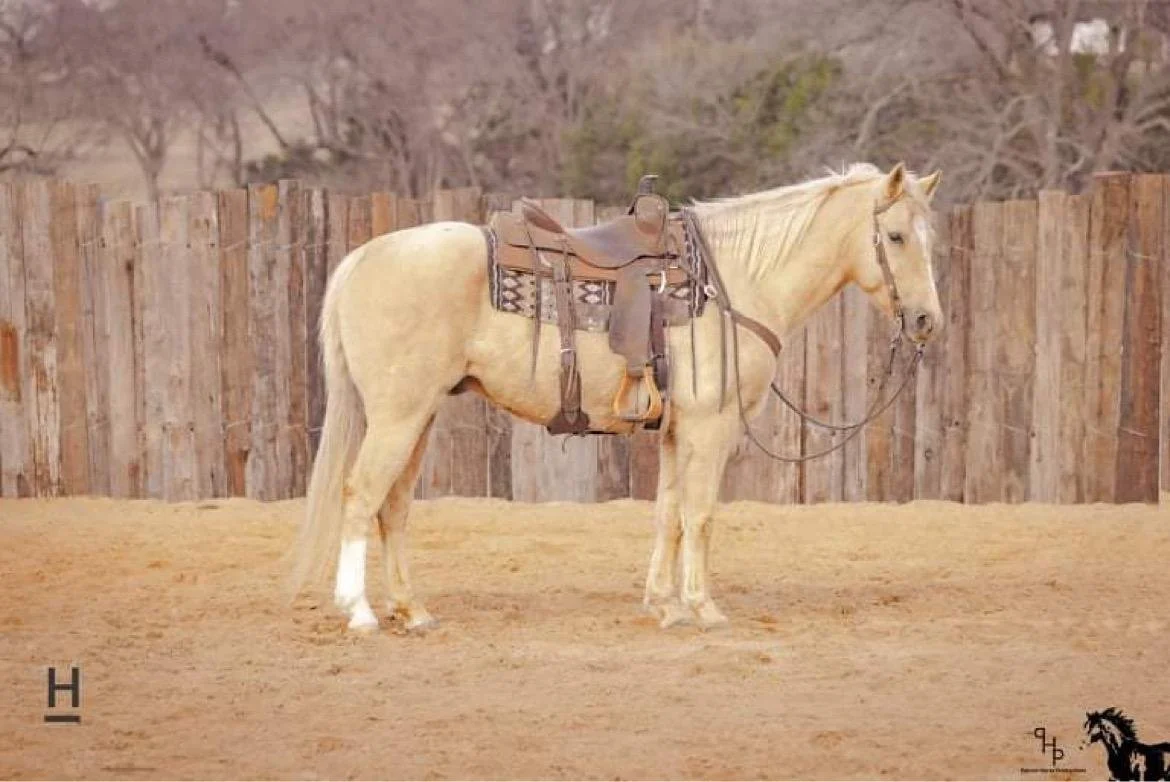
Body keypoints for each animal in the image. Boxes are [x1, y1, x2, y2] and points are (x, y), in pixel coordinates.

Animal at [292, 162, 943, 633]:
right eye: (894, 236)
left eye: (928, 238)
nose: (926, 321)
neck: (734, 282)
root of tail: (363, 257)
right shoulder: (711, 427)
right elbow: (700, 514)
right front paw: (704, 608)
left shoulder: (679, 430)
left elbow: (668, 514)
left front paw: (664, 604)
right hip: (398, 416)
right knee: (361, 494)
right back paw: (360, 612)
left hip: (418, 415)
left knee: (394, 506)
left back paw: (413, 611)